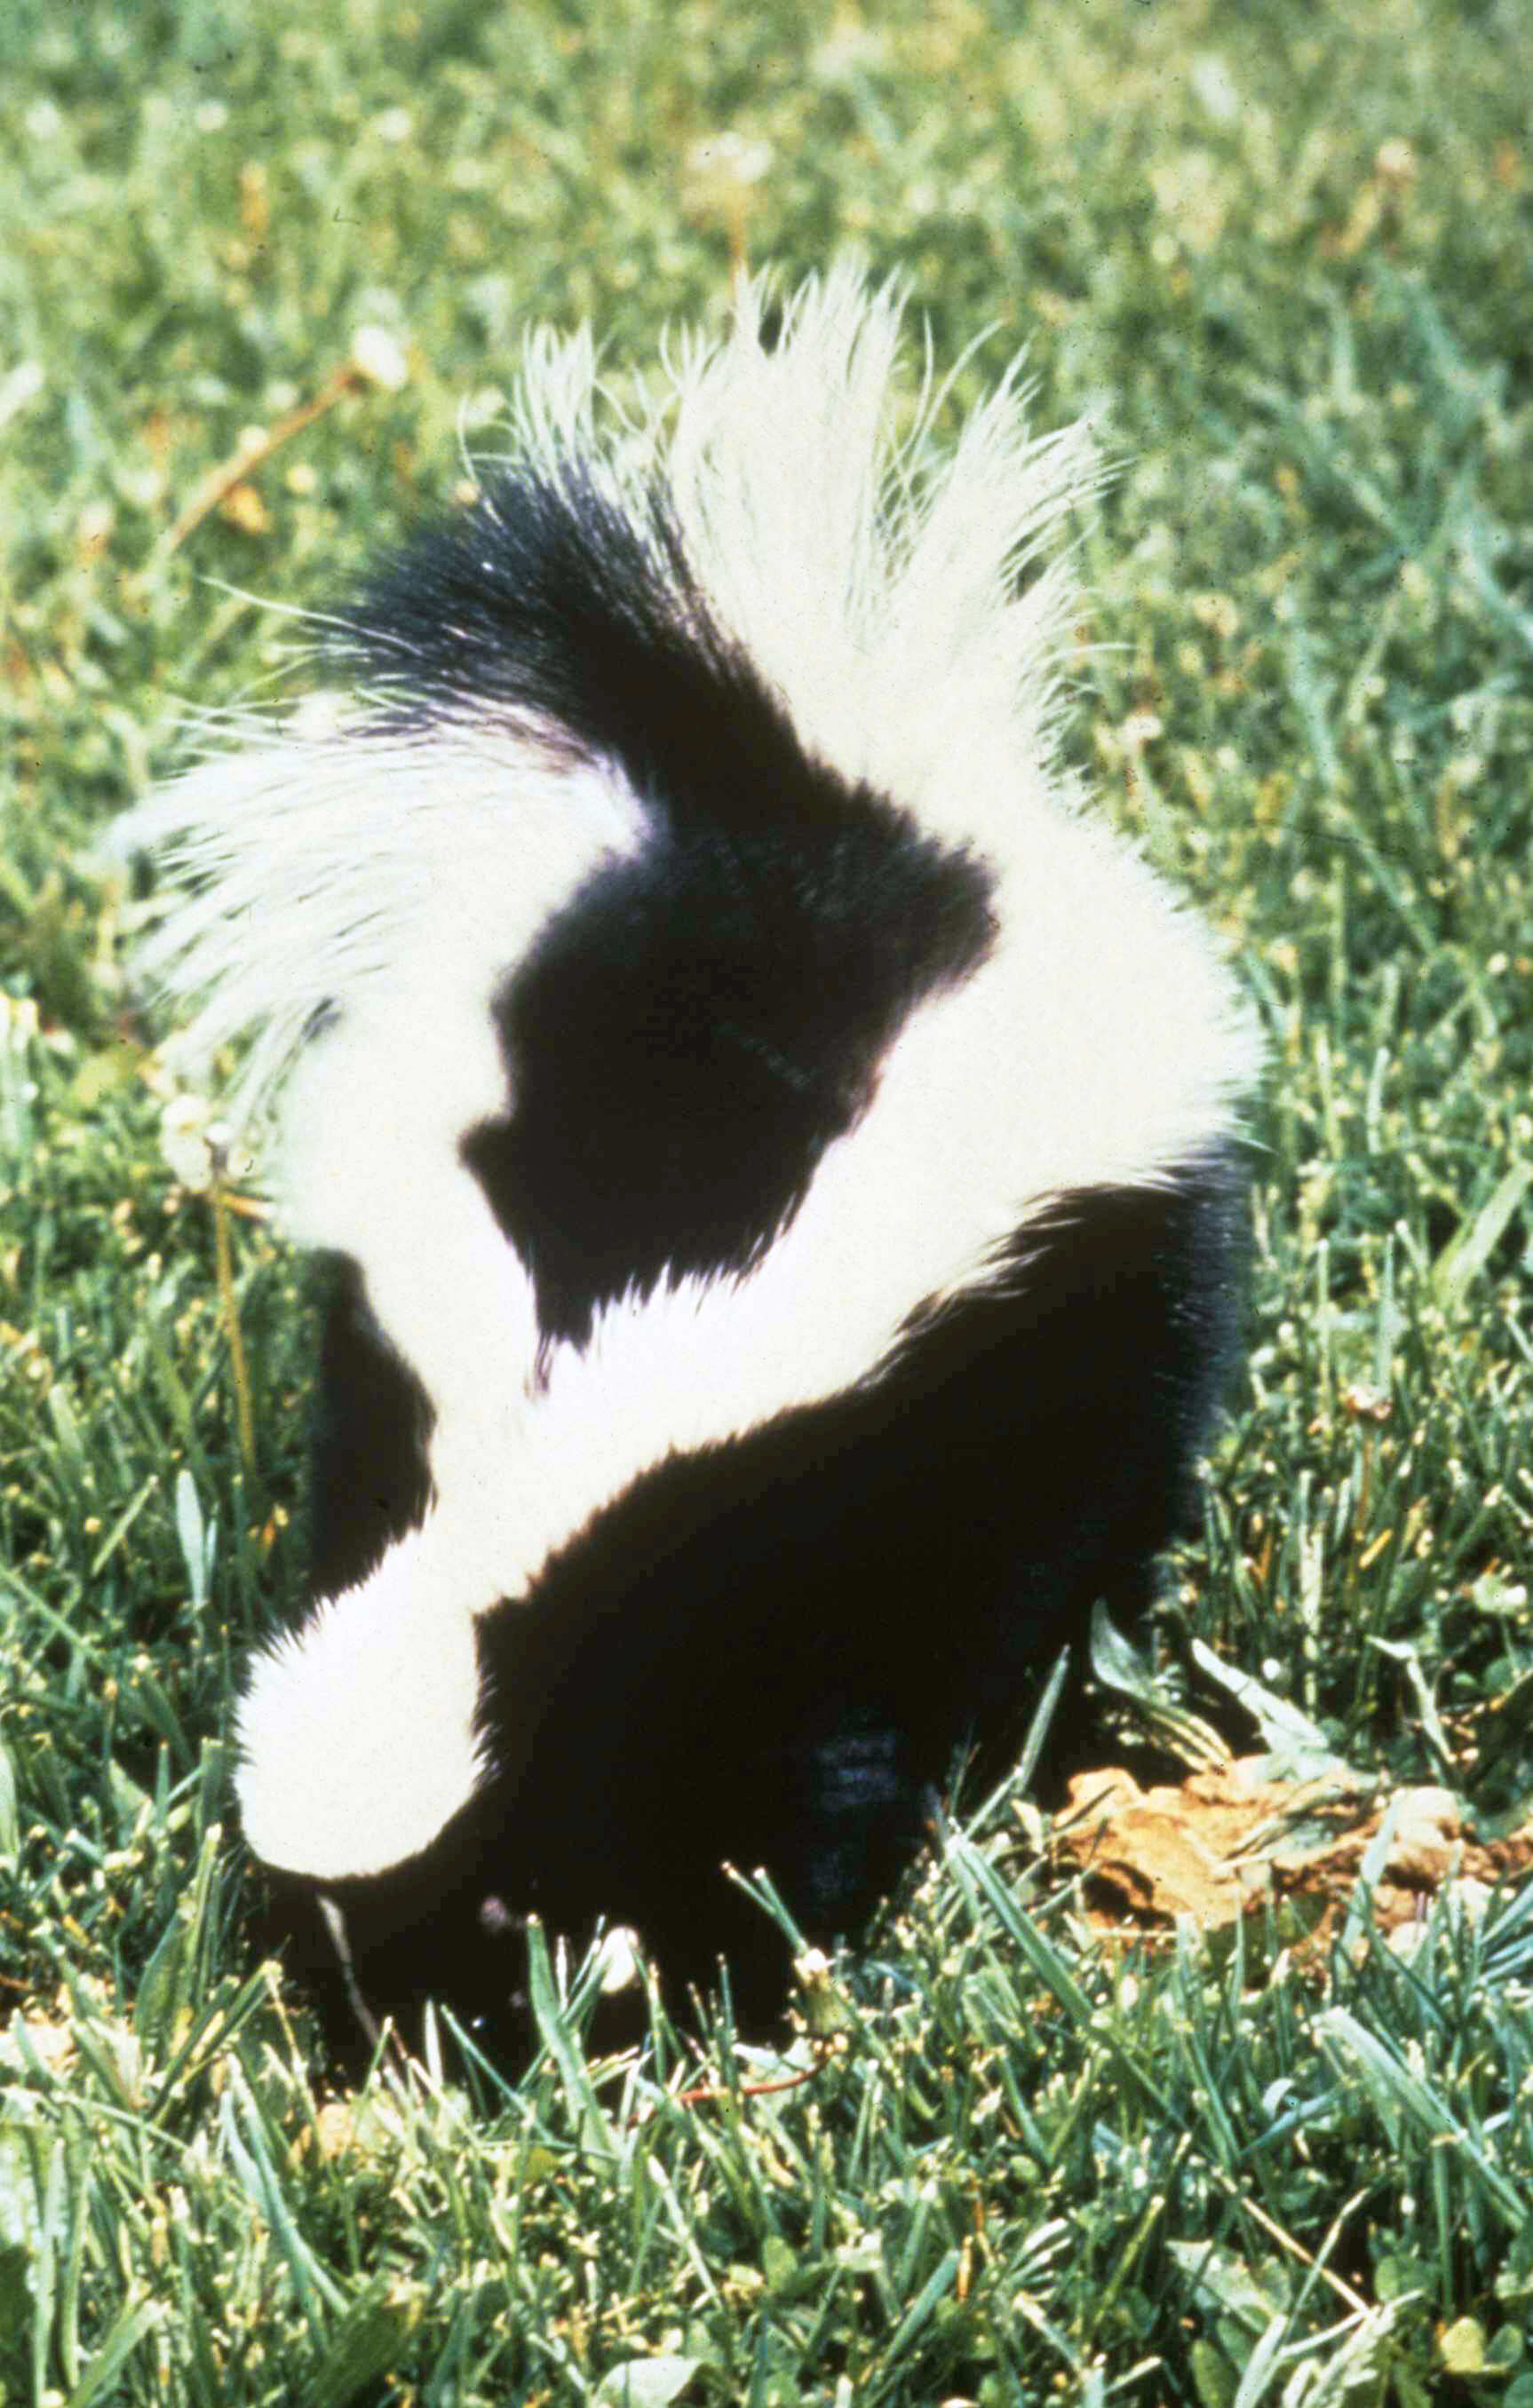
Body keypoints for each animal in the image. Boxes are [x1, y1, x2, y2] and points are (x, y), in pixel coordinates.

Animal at [125, 273, 1253, 2061]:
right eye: (318, 1933)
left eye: (497, 1900)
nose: (405, 2050)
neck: (529, 1478)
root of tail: (803, 815)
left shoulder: (781, 1574)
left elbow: (812, 1781)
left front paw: (761, 1963)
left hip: (1109, 1283)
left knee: (1114, 1483)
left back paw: (1080, 1682)